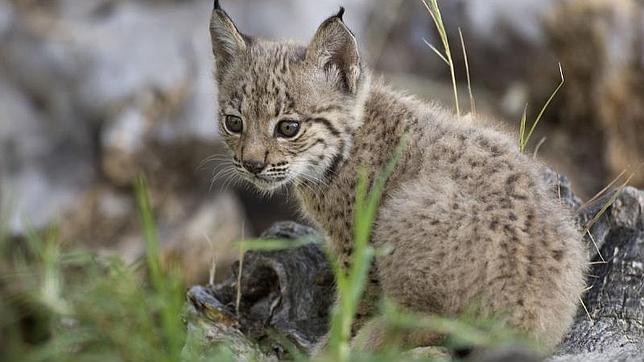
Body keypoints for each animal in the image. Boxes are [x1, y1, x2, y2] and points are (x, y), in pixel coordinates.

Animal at [210, 0, 588, 350]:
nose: (252, 164)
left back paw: (373, 340)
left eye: (288, 128)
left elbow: (357, 301)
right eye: (234, 123)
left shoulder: (357, 243)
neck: (341, 150)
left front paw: (335, 347)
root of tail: (533, 320)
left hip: (405, 206)